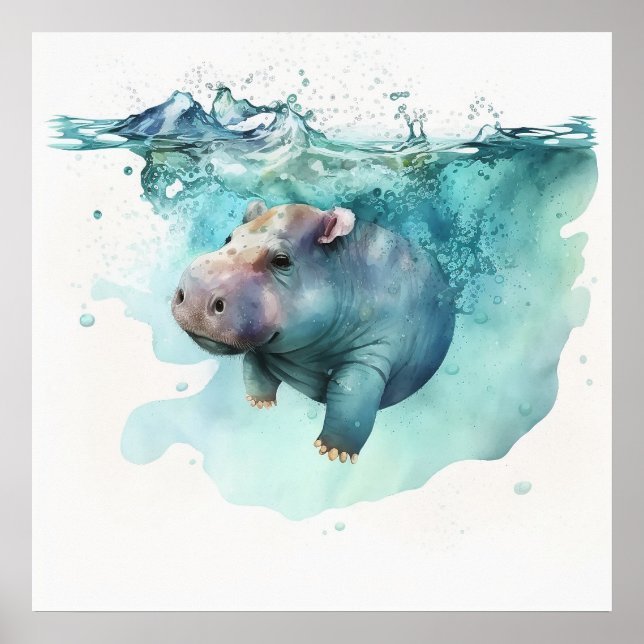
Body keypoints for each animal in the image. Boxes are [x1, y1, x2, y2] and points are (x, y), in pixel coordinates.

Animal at [172, 201, 455, 464]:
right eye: (229, 237)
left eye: (282, 260)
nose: (197, 293)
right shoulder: (264, 347)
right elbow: (254, 370)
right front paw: (259, 402)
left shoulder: (371, 357)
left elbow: (353, 401)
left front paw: (334, 452)